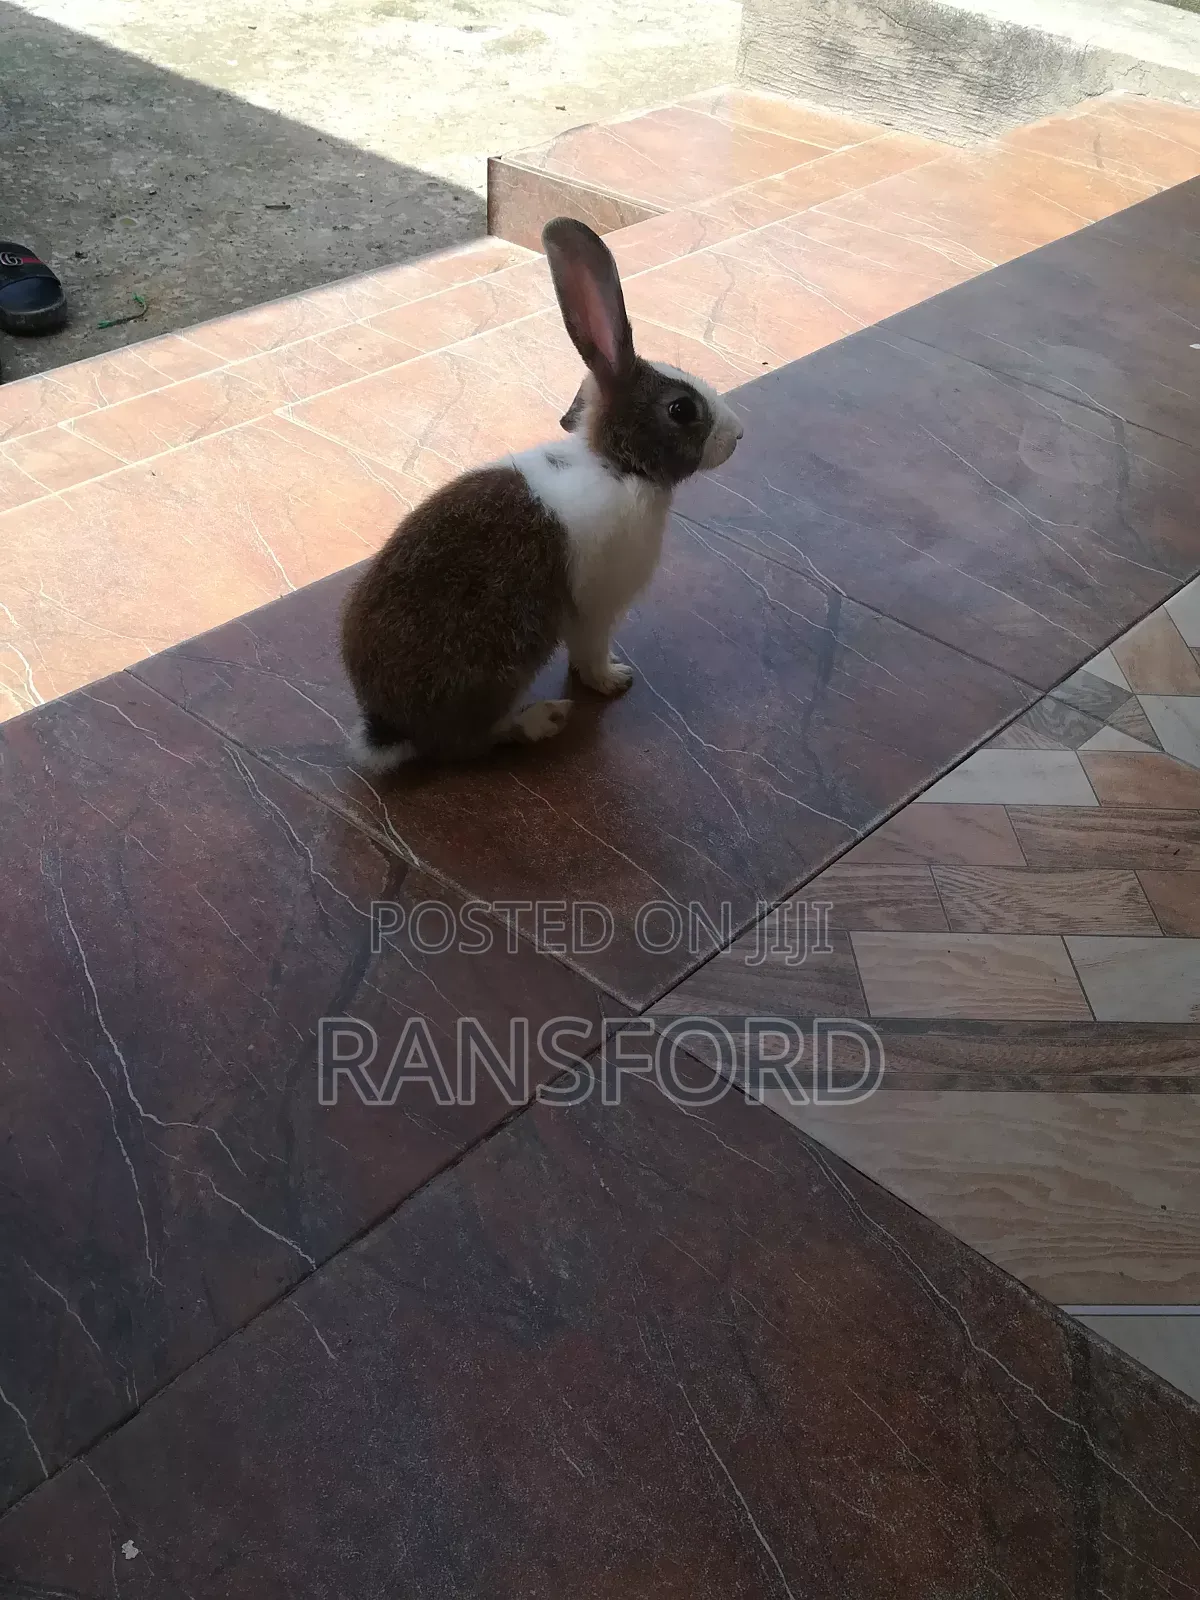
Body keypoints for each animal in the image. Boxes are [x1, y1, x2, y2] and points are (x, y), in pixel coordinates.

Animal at [341, 215, 744, 771]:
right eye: (682, 410)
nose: (738, 434)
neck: (618, 466)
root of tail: (389, 727)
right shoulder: (596, 607)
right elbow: (589, 653)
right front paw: (613, 681)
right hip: (503, 664)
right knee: (472, 742)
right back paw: (542, 720)